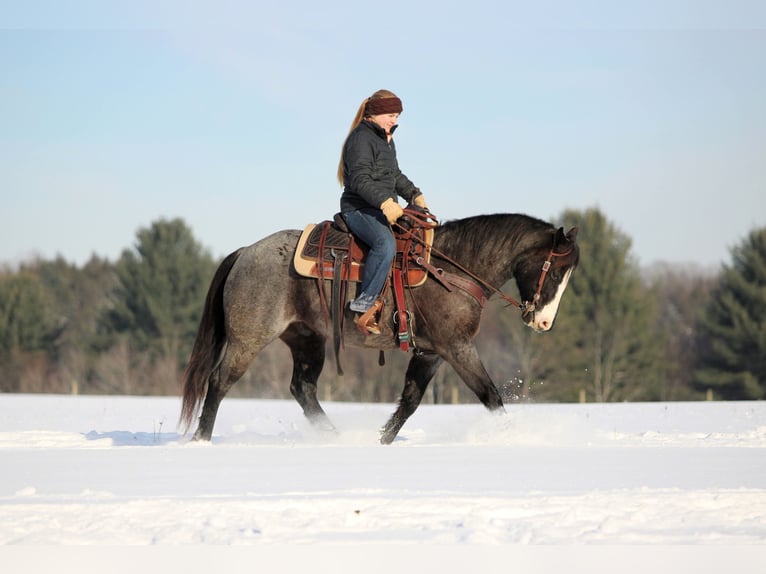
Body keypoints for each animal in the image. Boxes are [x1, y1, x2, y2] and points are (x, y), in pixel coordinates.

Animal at [180, 213, 579, 444]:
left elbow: (411, 400)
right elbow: (491, 396)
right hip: (248, 340)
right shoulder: (457, 347)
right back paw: (201, 439)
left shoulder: (431, 352)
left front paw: (382, 440)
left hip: (308, 340)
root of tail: (245, 252)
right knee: (218, 381)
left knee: (303, 389)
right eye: (555, 272)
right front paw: (514, 437)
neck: (452, 267)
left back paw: (335, 437)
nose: (544, 322)